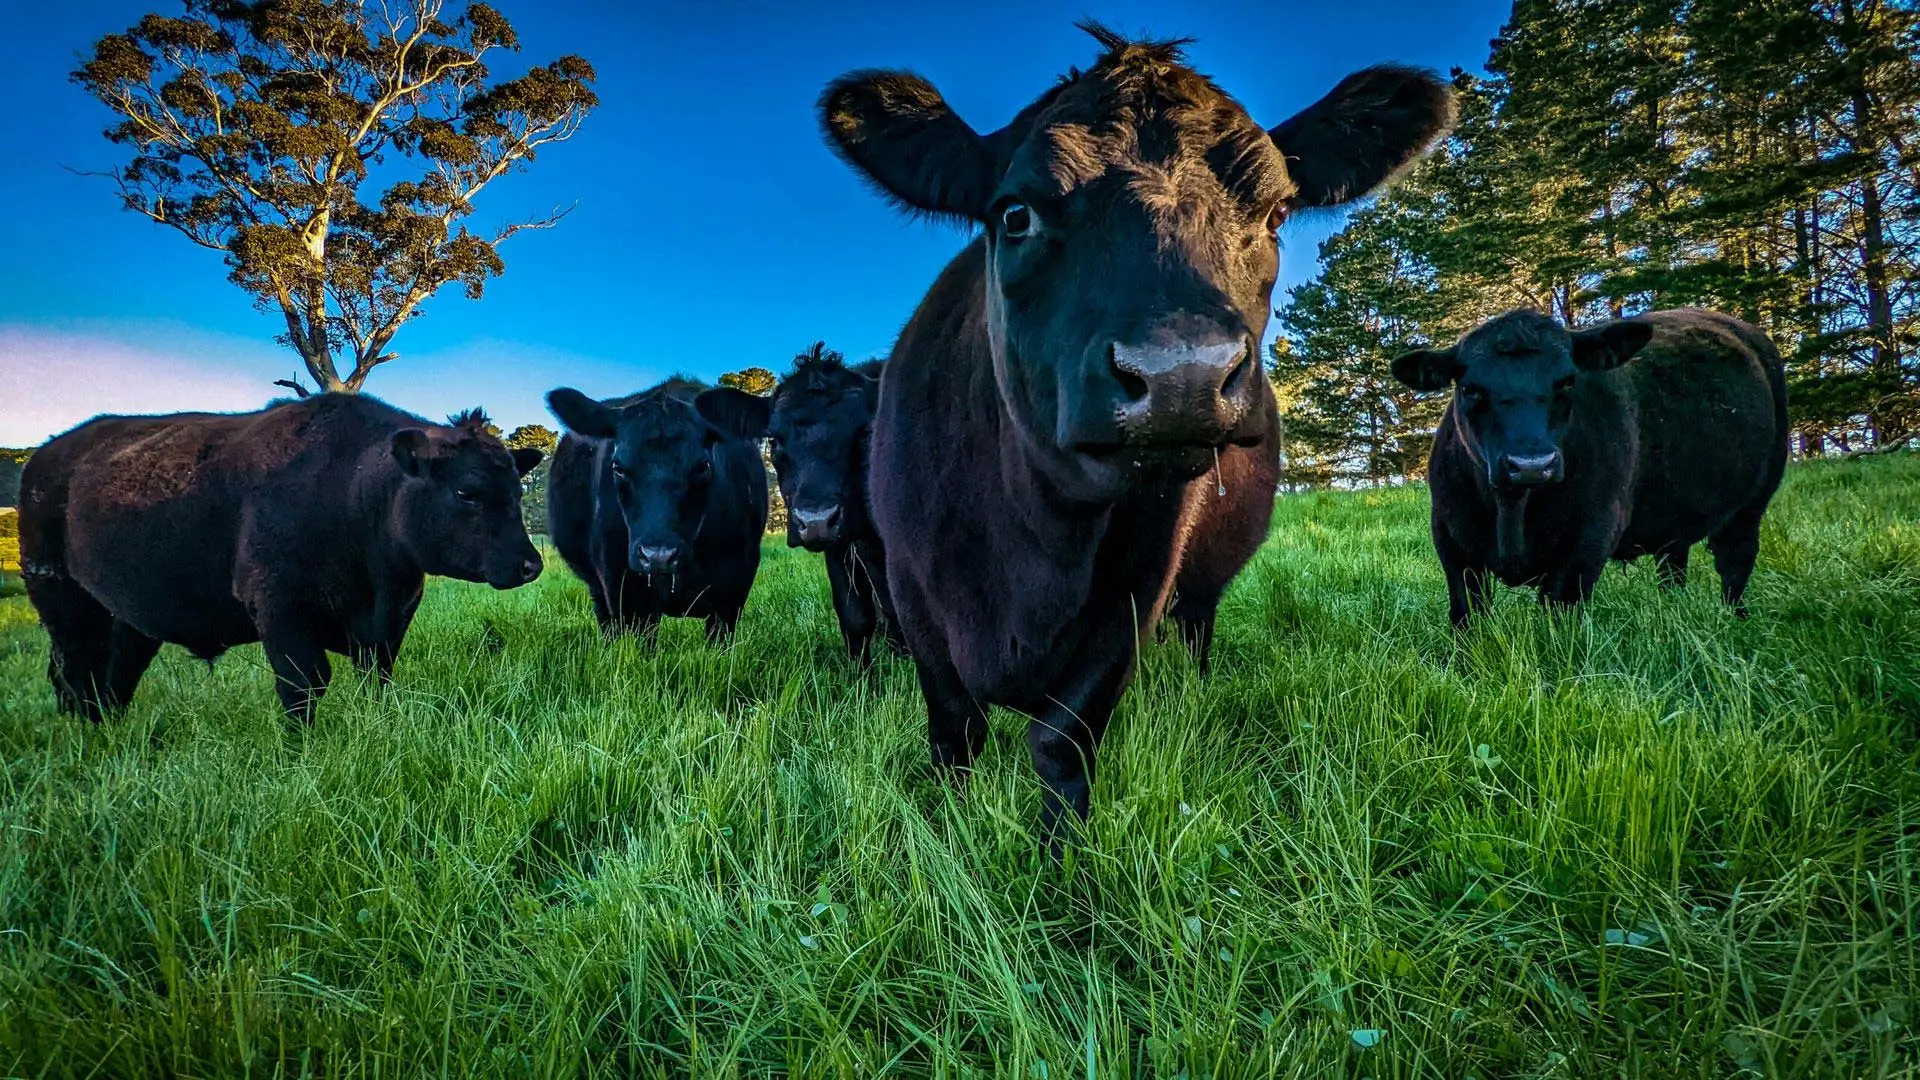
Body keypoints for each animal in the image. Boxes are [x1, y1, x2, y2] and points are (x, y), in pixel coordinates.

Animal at [18, 395, 544, 723]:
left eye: (517, 491)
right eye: (467, 491)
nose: (530, 565)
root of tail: (48, 454)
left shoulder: (388, 626)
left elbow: (377, 679)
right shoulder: (280, 610)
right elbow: (303, 686)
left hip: (129, 620)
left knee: (113, 679)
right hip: (64, 603)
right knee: (76, 675)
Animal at [763, 346, 908, 666]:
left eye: (865, 432)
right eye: (774, 441)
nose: (815, 520)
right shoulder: (840, 547)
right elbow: (855, 616)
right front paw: (862, 674)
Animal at [819, 22, 1454, 841]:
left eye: (1275, 216)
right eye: (1015, 214)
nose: (1182, 375)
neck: (1031, 538)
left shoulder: (1135, 588)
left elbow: (1062, 741)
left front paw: (1060, 860)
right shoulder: (910, 586)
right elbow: (955, 730)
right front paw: (951, 833)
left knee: (1197, 626)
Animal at [1389, 307, 1789, 626]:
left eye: (1567, 381)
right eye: (1470, 388)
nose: (1531, 465)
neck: (1512, 511)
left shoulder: (1592, 534)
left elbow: (1557, 613)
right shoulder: (1450, 538)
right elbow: (1468, 613)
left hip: (1754, 501)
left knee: (1735, 561)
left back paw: (1735, 620)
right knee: (1673, 562)